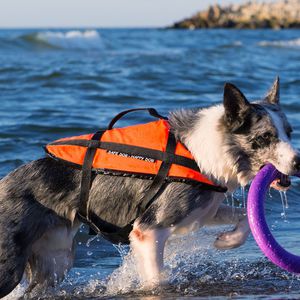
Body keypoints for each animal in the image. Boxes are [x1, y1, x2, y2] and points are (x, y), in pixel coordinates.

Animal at [0, 77, 300, 298]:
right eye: (265, 137)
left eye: (289, 132)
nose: (299, 163)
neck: (207, 150)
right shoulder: (149, 230)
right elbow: (157, 280)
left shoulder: (202, 210)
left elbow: (246, 219)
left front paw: (226, 241)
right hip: (10, 265)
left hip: (55, 261)